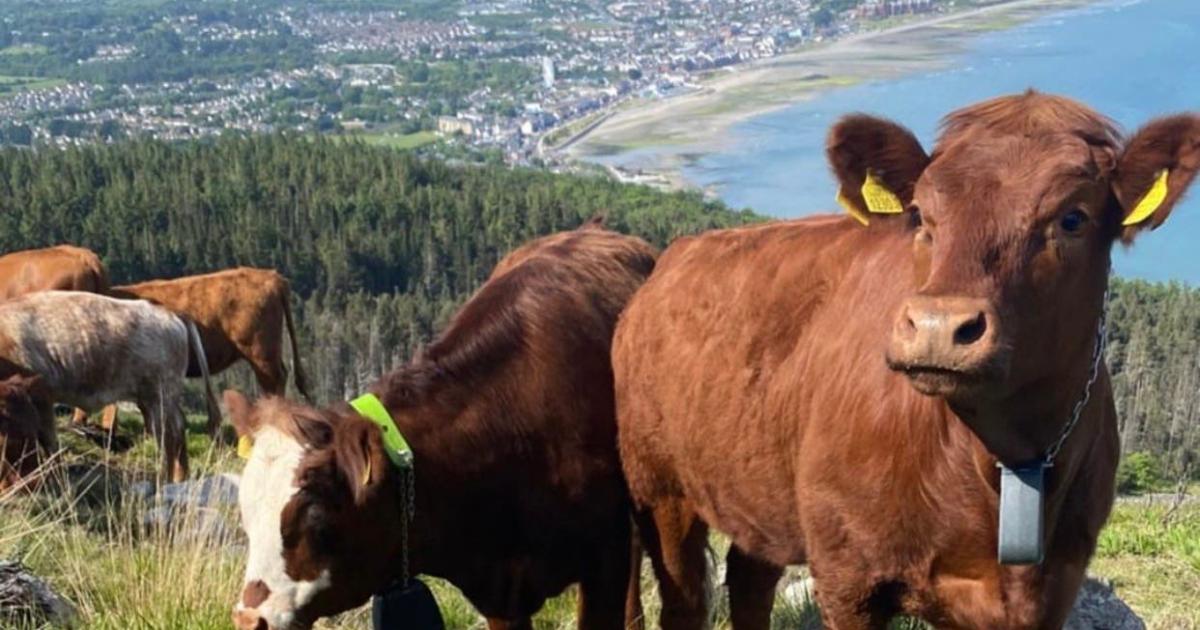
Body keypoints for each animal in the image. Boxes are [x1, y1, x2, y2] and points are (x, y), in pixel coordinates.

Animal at [0, 292, 221, 484]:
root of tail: (170, 313)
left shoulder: (43, 395)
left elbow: (49, 440)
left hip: (162, 394)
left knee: (170, 435)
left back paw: (166, 480)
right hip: (151, 399)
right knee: (177, 428)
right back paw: (180, 478)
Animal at [613, 92, 1199, 629]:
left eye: (1073, 218)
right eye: (921, 215)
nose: (939, 327)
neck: (1004, 460)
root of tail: (671, 257)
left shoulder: (1056, 583)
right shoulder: (846, 575)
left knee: (750, 577)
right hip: (660, 487)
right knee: (685, 597)